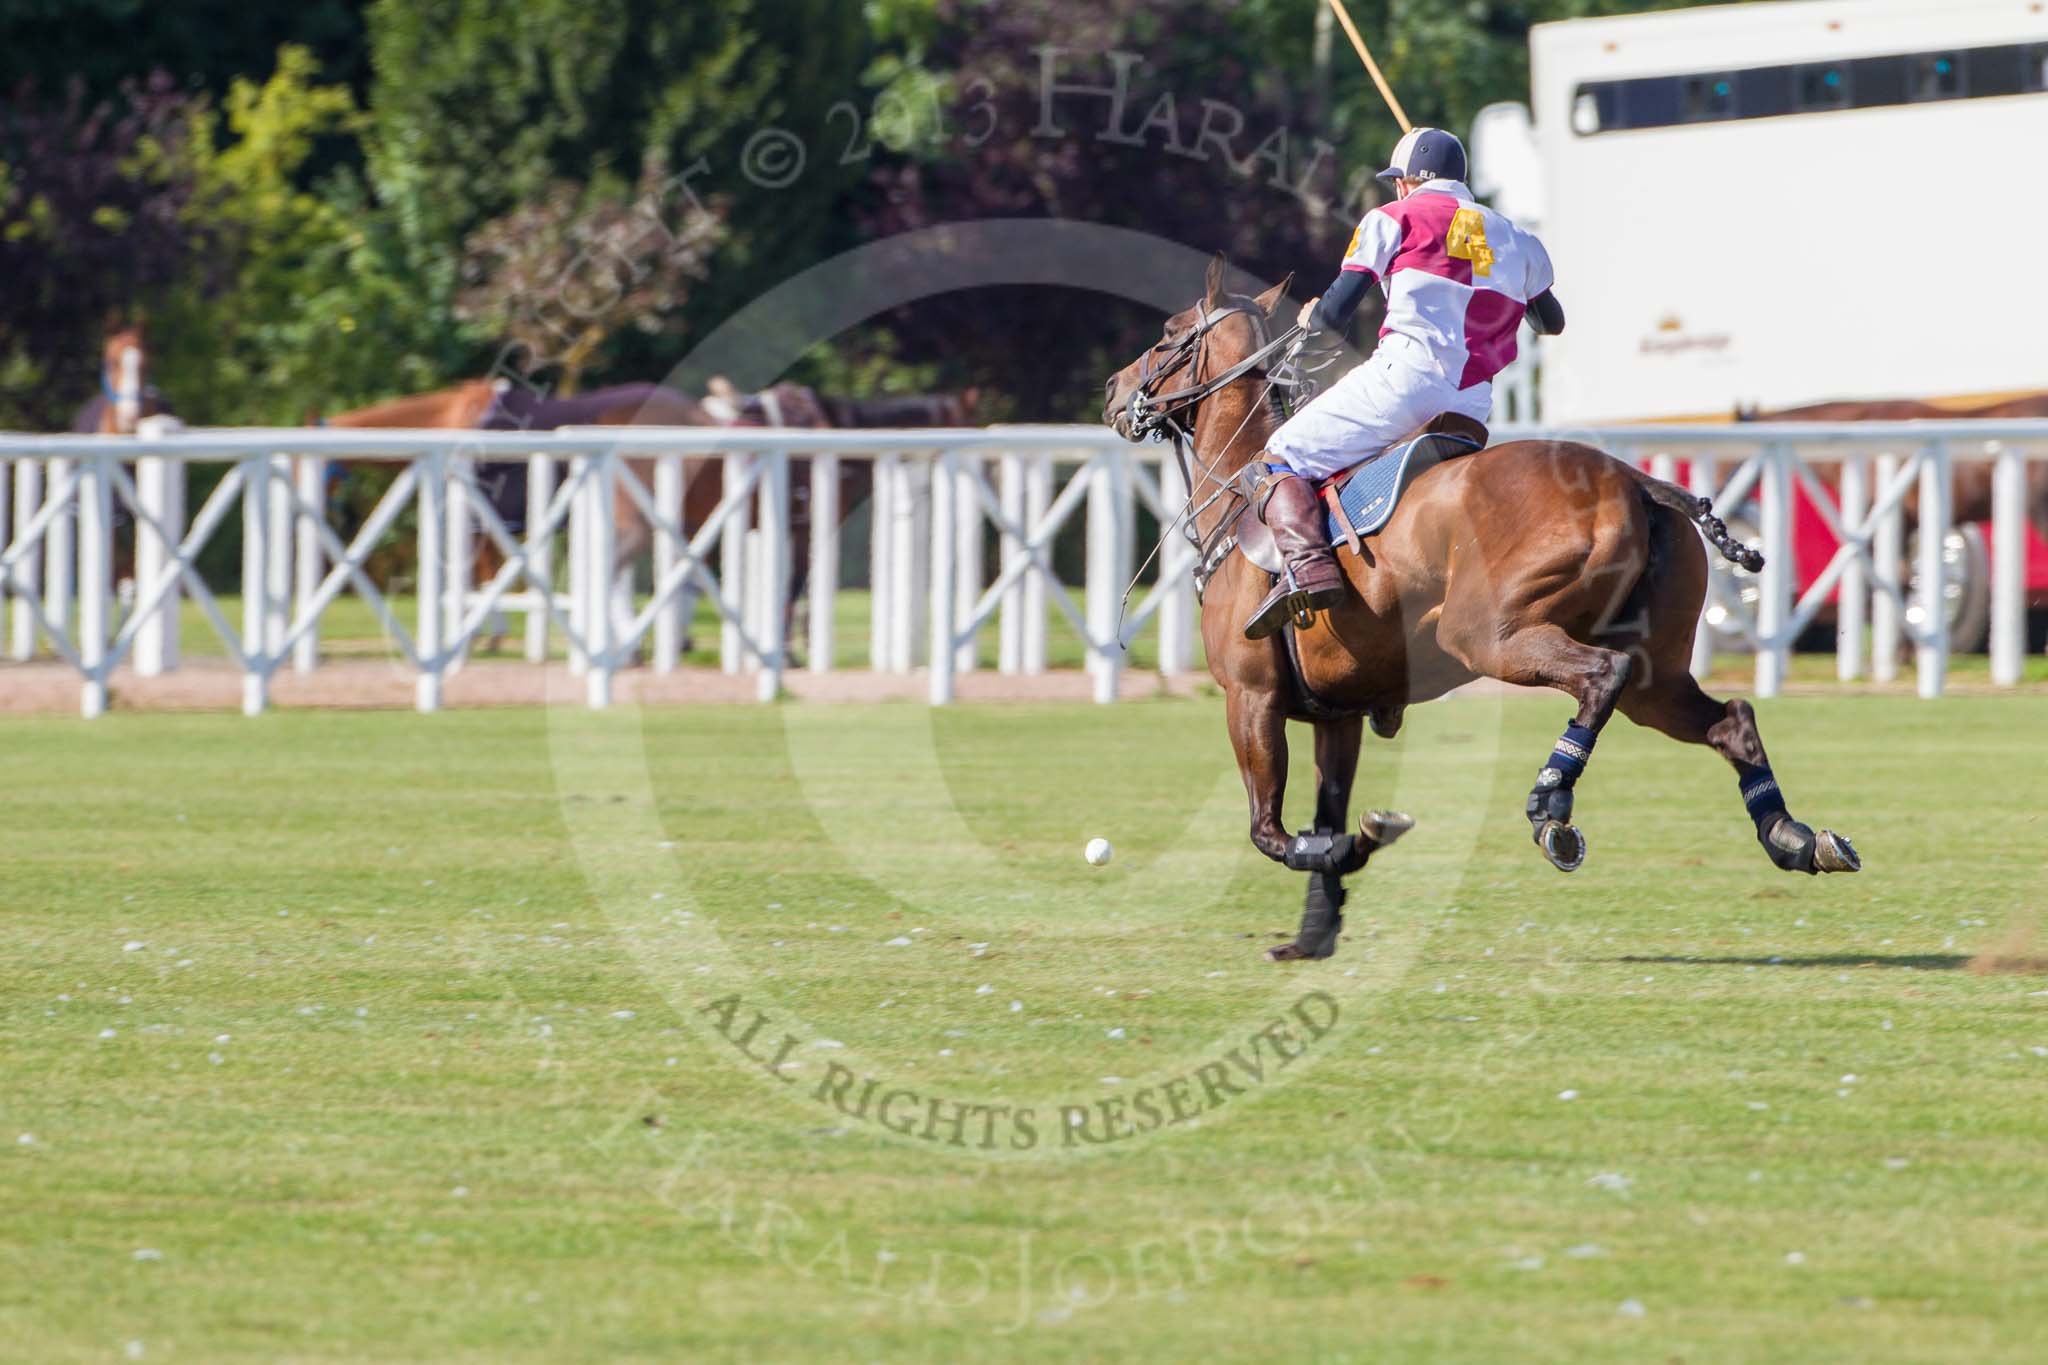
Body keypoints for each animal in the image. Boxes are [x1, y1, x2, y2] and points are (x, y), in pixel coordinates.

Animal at [1114, 258, 1867, 961]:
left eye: (1169, 335)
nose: (1115, 391)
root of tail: (1634, 479)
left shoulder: (1252, 697)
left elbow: (1269, 830)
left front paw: (1357, 846)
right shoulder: (1338, 712)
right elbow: (1323, 815)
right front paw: (1313, 934)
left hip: (1486, 633)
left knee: (1602, 674)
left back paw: (1551, 803)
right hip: (1658, 671)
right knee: (1727, 718)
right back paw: (1793, 837)